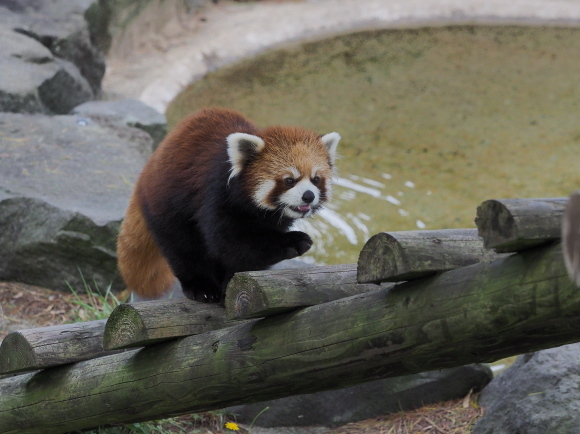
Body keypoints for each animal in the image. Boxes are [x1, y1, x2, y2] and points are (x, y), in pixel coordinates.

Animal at [117, 107, 340, 304]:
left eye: (315, 179)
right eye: (289, 180)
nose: (308, 196)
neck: (256, 212)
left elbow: (240, 258)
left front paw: (230, 287)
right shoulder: (215, 195)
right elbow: (229, 243)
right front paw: (294, 242)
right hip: (166, 206)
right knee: (184, 248)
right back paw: (201, 287)